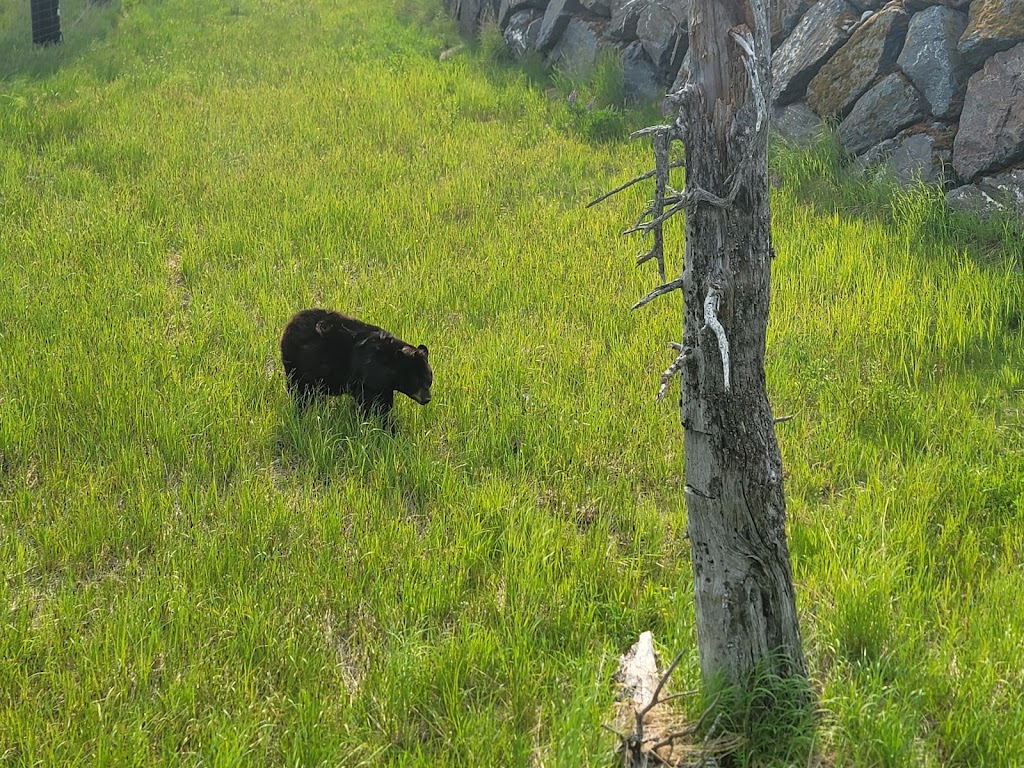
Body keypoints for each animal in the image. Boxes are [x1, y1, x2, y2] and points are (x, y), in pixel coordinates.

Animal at [280, 309, 432, 417]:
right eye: (417, 381)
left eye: (429, 380)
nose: (427, 398)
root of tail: (288, 325)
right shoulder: (366, 378)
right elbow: (369, 402)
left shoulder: (384, 386)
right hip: (296, 365)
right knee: (298, 391)